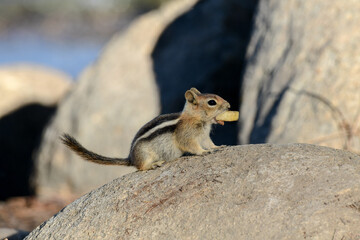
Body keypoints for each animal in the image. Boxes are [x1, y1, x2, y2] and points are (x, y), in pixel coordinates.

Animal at [60, 88, 231, 171]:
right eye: (212, 102)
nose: (229, 105)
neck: (197, 119)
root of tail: (131, 158)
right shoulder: (187, 136)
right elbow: (192, 146)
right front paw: (203, 152)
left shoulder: (204, 136)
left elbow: (210, 143)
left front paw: (218, 147)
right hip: (145, 155)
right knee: (141, 167)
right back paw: (153, 165)